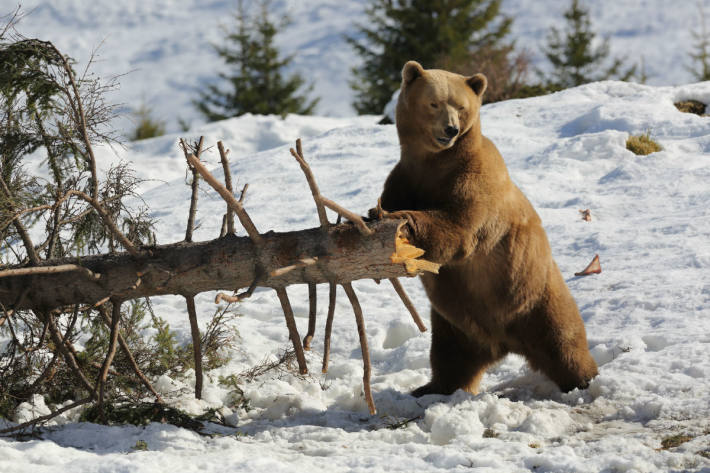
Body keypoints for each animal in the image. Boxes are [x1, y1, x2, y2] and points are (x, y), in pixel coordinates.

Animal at [378, 61, 600, 394]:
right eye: (434, 103)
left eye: (460, 106)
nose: (451, 129)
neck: (435, 164)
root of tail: (503, 342)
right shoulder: (406, 178)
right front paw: (371, 217)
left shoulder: (474, 178)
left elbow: (458, 225)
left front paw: (407, 225)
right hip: (456, 322)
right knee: (450, 356)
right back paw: (431, 388)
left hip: (534, 297)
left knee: (564, 340)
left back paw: (584, 380)